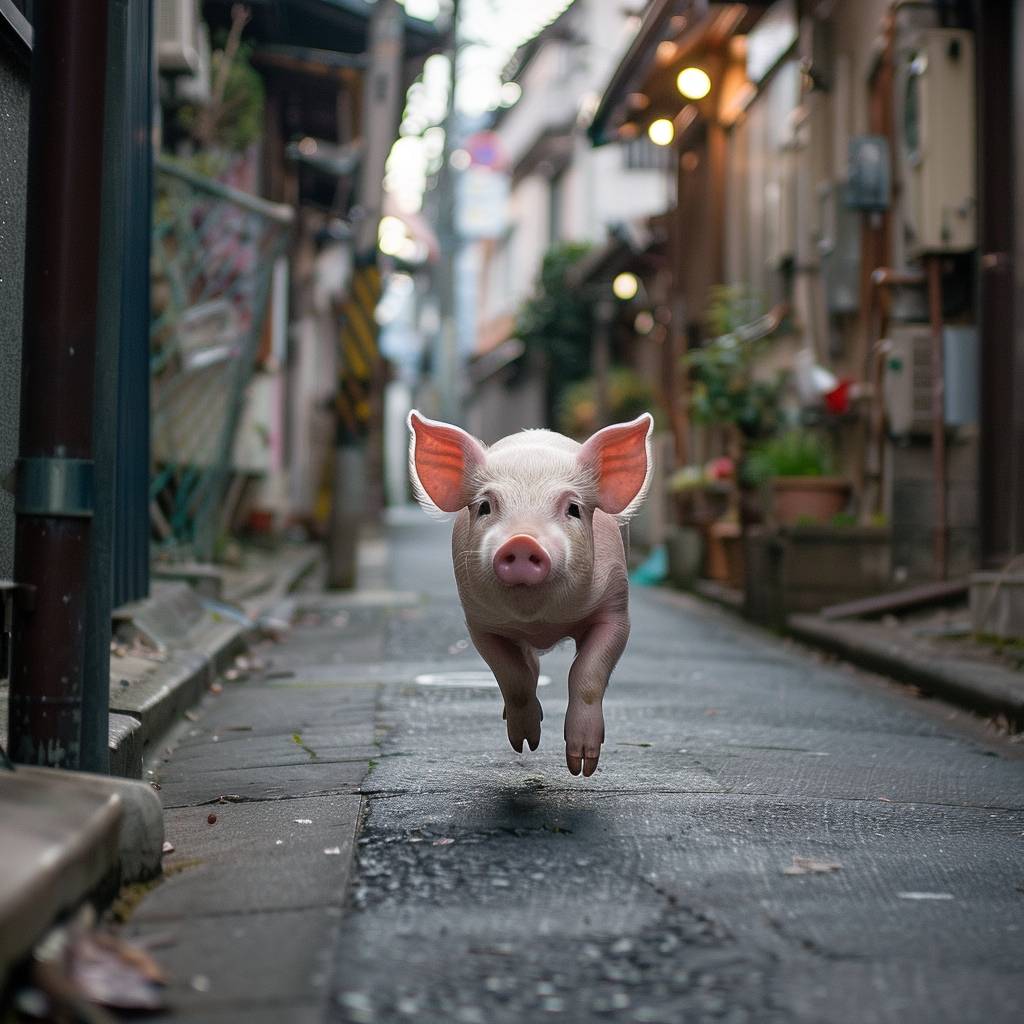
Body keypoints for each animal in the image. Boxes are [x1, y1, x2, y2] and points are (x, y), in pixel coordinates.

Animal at [403, 407, 651, 774]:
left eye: (573, 508)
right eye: (485, 507)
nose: (522, 541)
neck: (539, 623)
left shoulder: (615, 608)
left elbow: (587, 674)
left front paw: (581, 767)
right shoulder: (479, 622)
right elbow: (513, 676)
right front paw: (525, 745)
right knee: (528, 666)